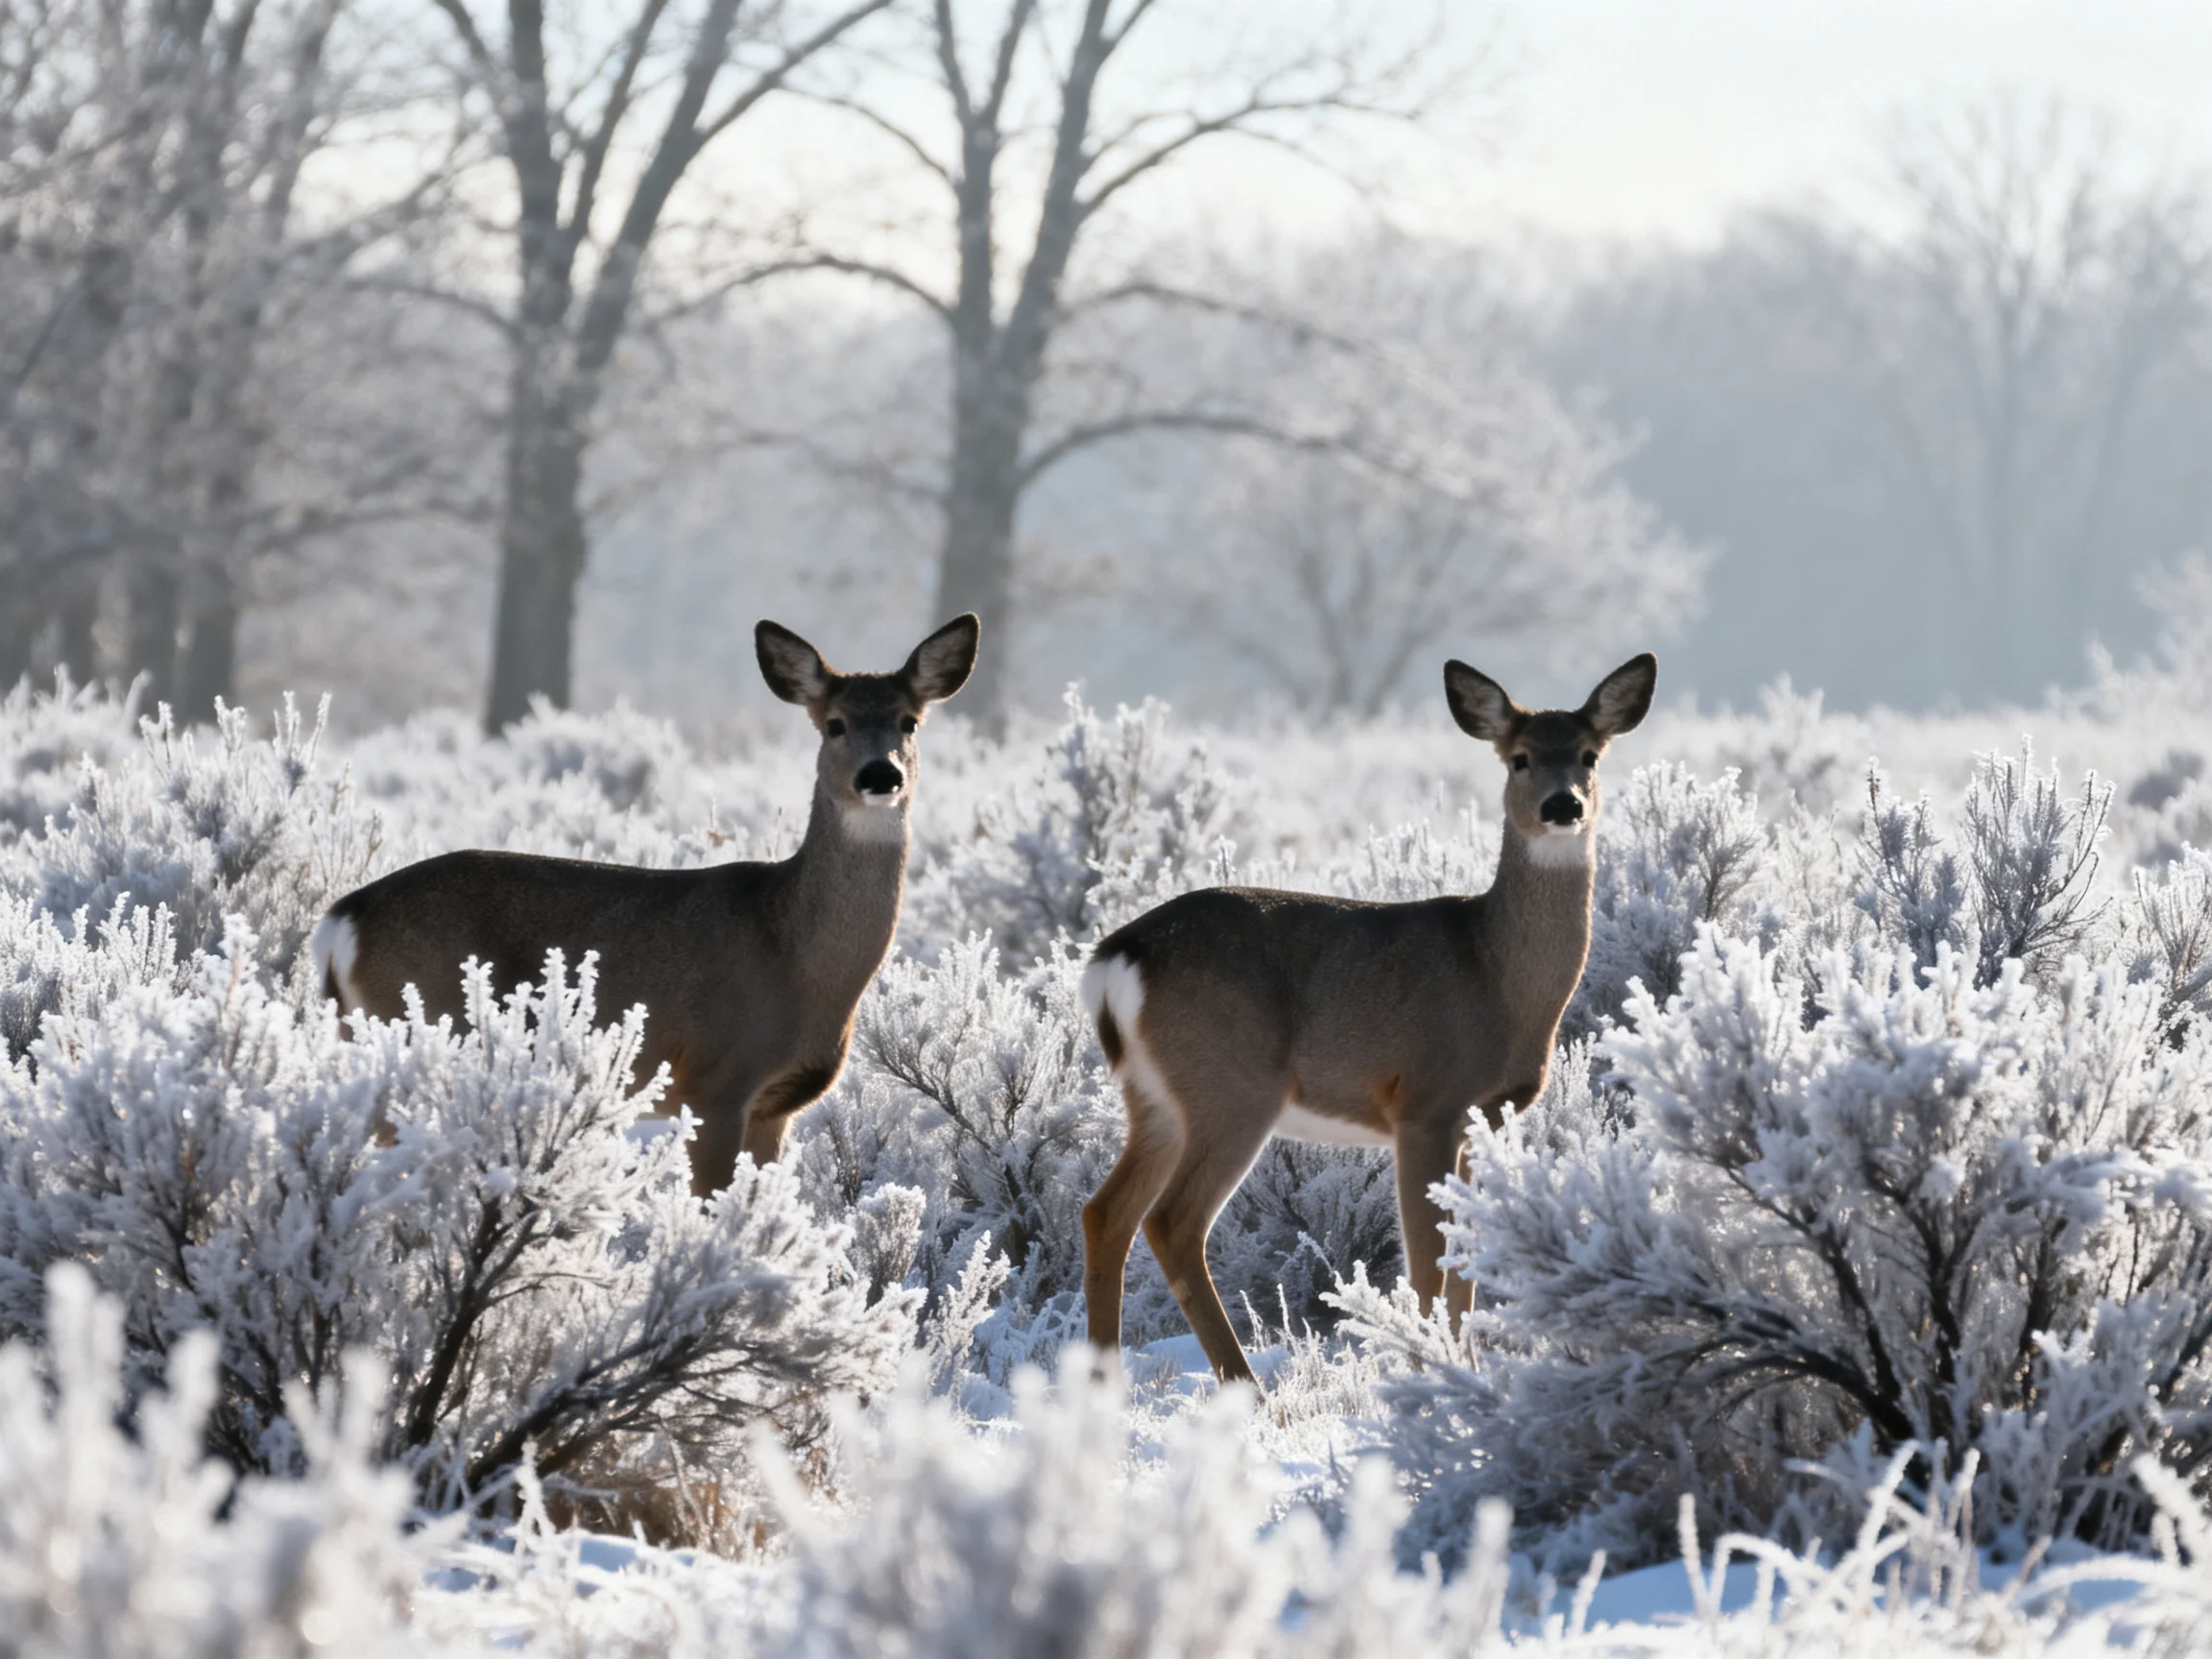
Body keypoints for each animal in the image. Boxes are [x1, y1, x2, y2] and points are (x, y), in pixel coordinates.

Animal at [308, 614, 980, 1198]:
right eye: (834, 723)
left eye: (909, 721)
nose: (880, 775)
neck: (792, 952)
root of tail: (342, 920)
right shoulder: (715, 1080)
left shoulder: (776, 1105)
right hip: (419, 1025)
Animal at [1079, 652, 1656, 1385]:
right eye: (1520, 758)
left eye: (1589, 754)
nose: (1564, 805)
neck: (1493, 970)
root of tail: (1117, 957)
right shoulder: (1426, 1103)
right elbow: (1427, 1262)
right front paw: (1429, 1366)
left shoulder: (1483, 1117)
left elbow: (1465, 1256)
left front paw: (1465, 1367)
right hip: (1232, 1087)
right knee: (1173, 1223)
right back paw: (1246, 1388)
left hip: (1154, 1099)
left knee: (1106, 1214)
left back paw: (1099, 1383)